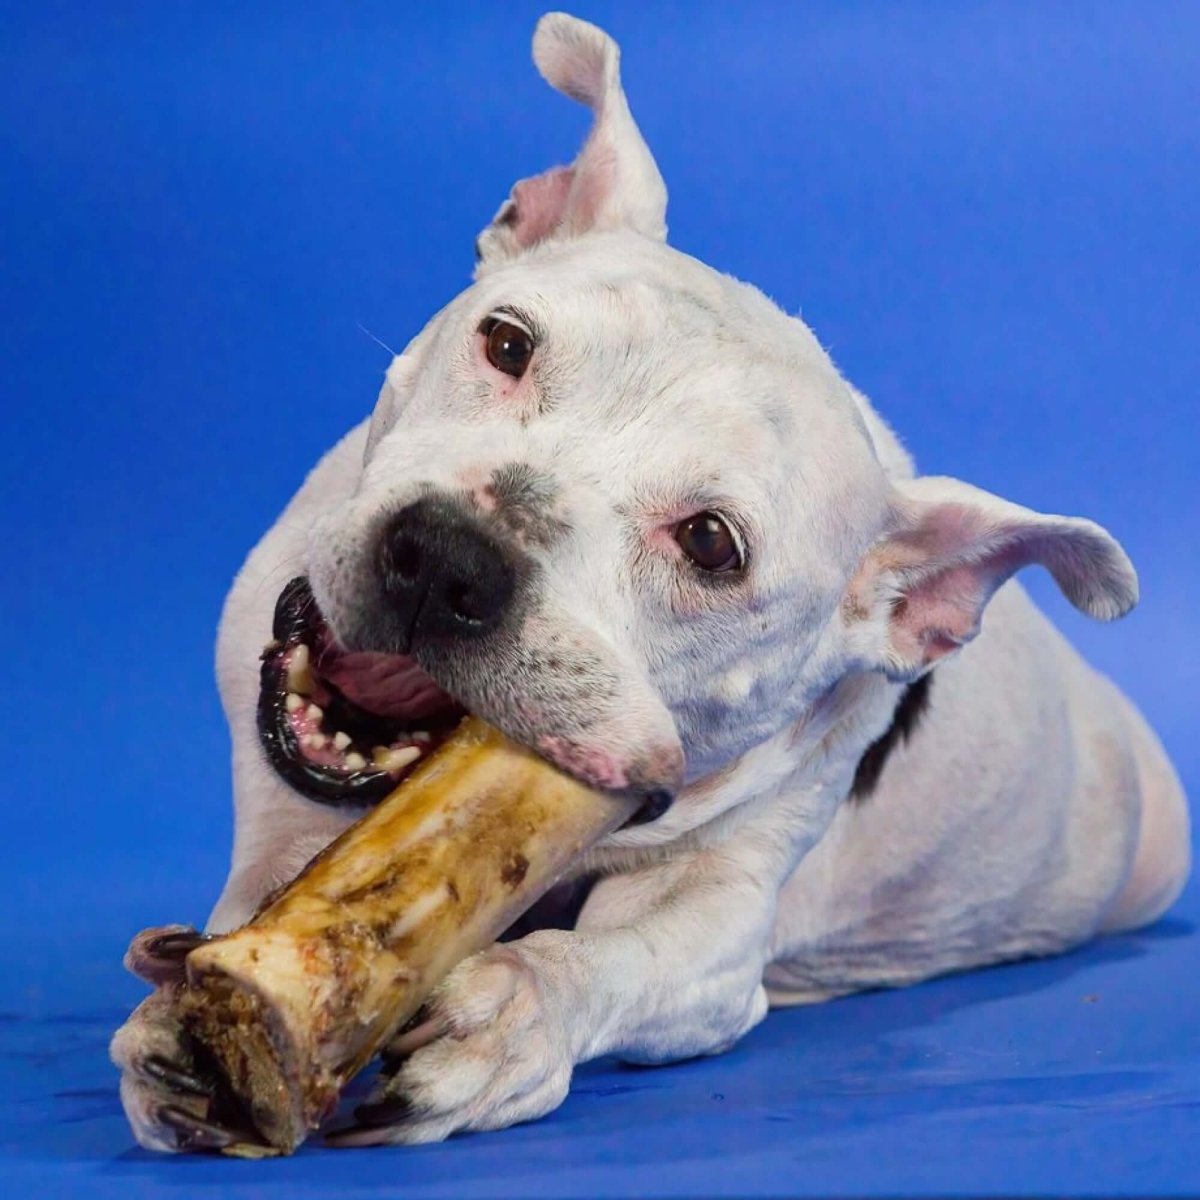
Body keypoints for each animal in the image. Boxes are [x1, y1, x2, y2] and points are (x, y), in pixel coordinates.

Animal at [114, 11, 1190, 1152]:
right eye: (506, 341)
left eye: (712, 544)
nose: (451, 558)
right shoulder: (287, 812)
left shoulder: (720, 928)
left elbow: (618, 961)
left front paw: (519, 1012)